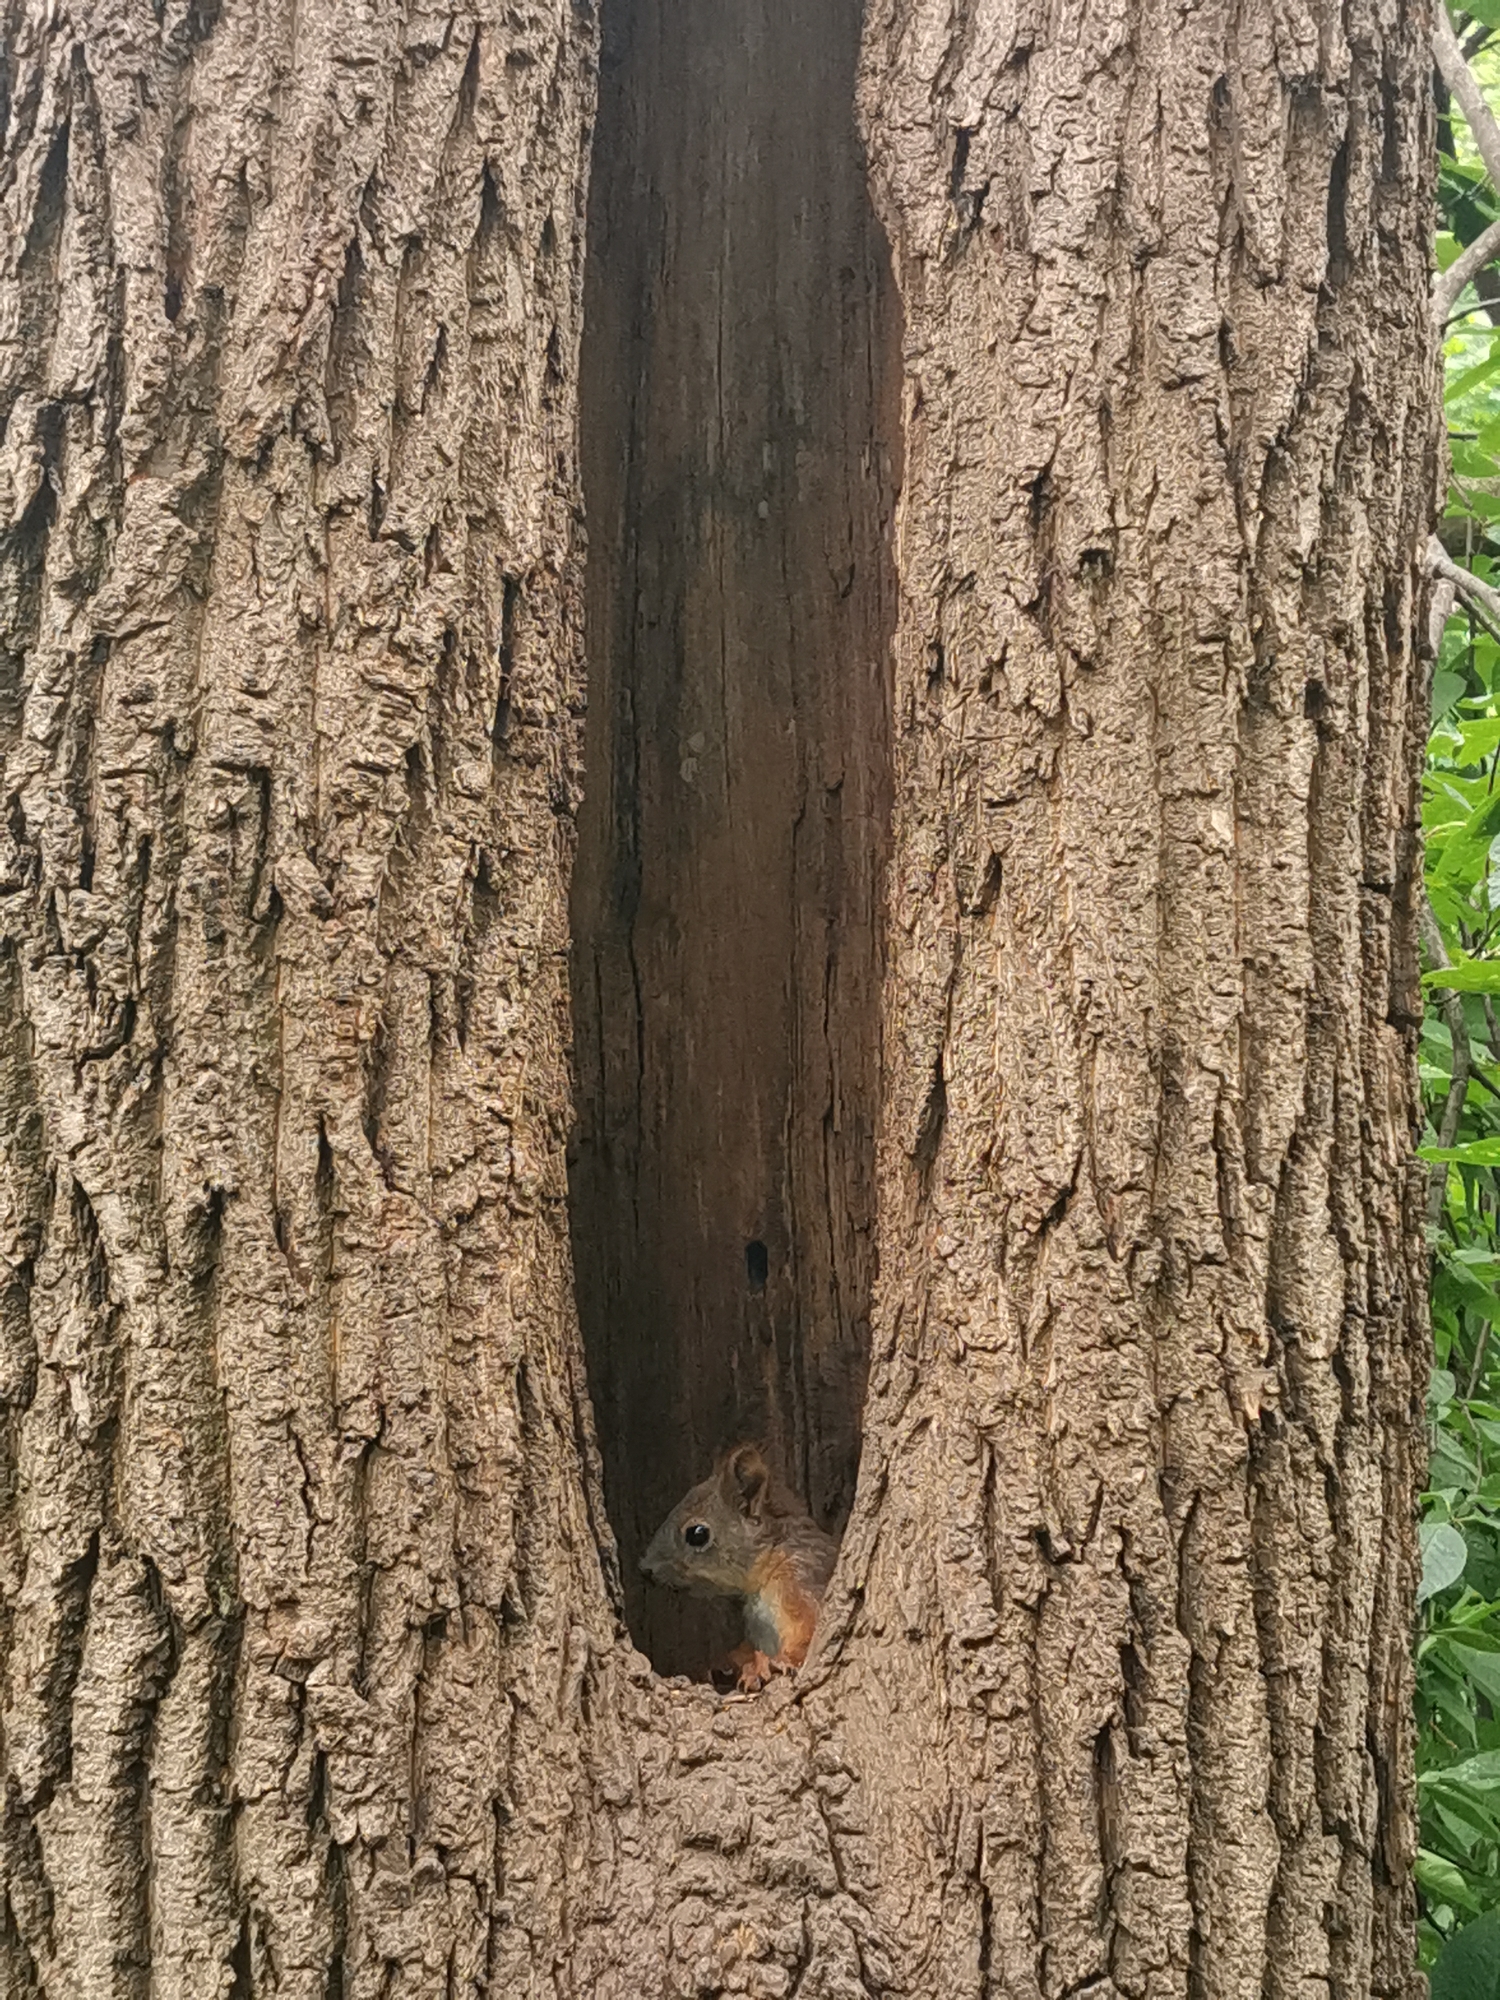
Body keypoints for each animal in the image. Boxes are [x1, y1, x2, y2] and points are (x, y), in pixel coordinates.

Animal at [639, 1442, 838, 1692]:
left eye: (697, 1534)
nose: (645, 1569)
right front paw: (727, 1663)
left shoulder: (800, 1582)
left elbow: (808, 1633)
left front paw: (773, 1663)